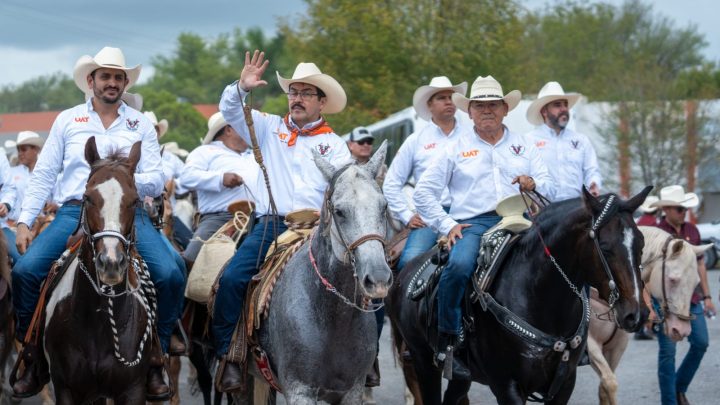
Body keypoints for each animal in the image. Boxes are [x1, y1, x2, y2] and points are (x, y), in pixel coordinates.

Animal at [43, 137, 157, 402]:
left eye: (135, 201)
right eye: (87, 198)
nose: (111, 263)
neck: (99, 321)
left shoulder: (133, 389)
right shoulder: (65, 388)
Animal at [239, 140, 390, 402]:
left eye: (384, 207)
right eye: (339, 211)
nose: (378, 278)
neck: (333, 317)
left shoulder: (352, 391)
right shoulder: (300, 390)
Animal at [388, 188, 652, 402]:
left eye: (641, 243)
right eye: (605, 247)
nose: (636, 314)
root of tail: (406, 270)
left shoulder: (564, 384)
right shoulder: (508, 386)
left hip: (459, 376)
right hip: (423, 362)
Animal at [592, 226, 708, 402]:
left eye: (696, 283)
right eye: (673, 279)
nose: (682, 330)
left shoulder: (617, 345)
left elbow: (604, 388)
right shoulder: (588, 343)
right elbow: (610, 384)